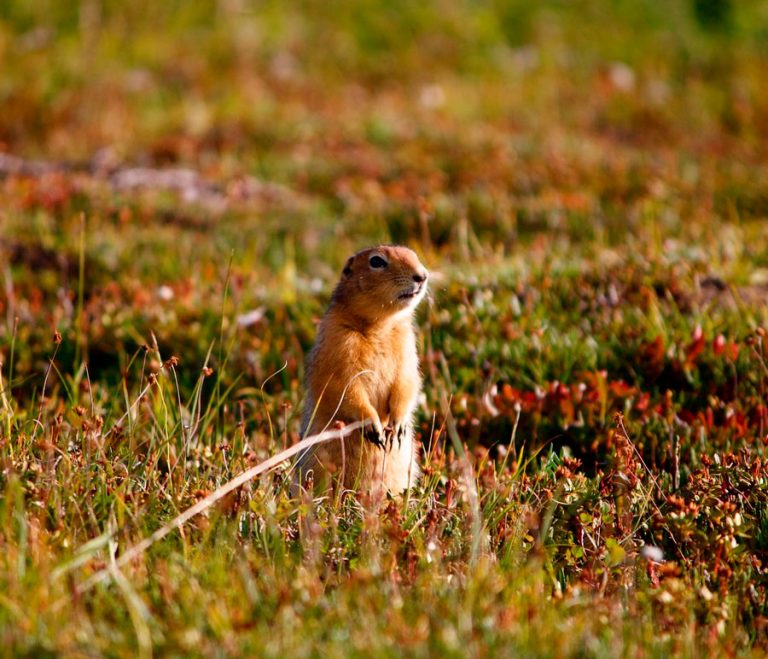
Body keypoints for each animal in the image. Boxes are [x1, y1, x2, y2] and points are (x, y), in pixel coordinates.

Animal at [292, 246, 428, 496]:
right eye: (376, 261)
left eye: (414, 254)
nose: (422, 276)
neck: (379, 327)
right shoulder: (338, 343)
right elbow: (344, 387)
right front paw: (373, 425)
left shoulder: (407, 347)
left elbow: (407, 382)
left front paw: (398, 425)